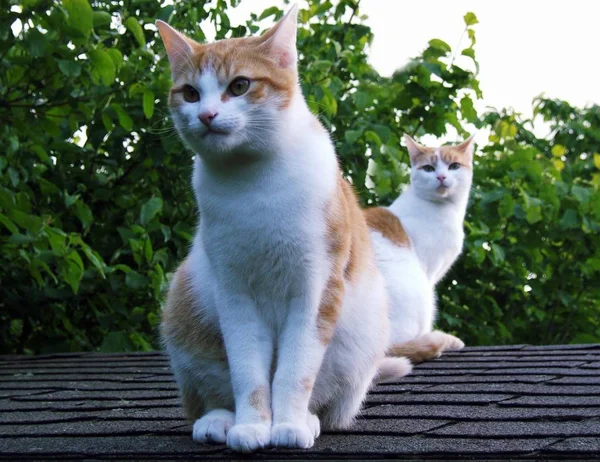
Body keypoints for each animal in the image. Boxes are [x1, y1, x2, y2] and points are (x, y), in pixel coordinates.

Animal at [155, 6, 410, 454]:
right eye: (190, 93)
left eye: (239, 86)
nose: (205, 115)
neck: (254, 187)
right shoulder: (234, 293)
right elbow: (248, 373)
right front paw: (252, 426)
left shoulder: (316, 288)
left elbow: (294, 371)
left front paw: (288, 424)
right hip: (183, 300)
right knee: (205, 396)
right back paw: (219, 420)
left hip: (364, 337)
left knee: (328, 403)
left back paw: (308, 419)